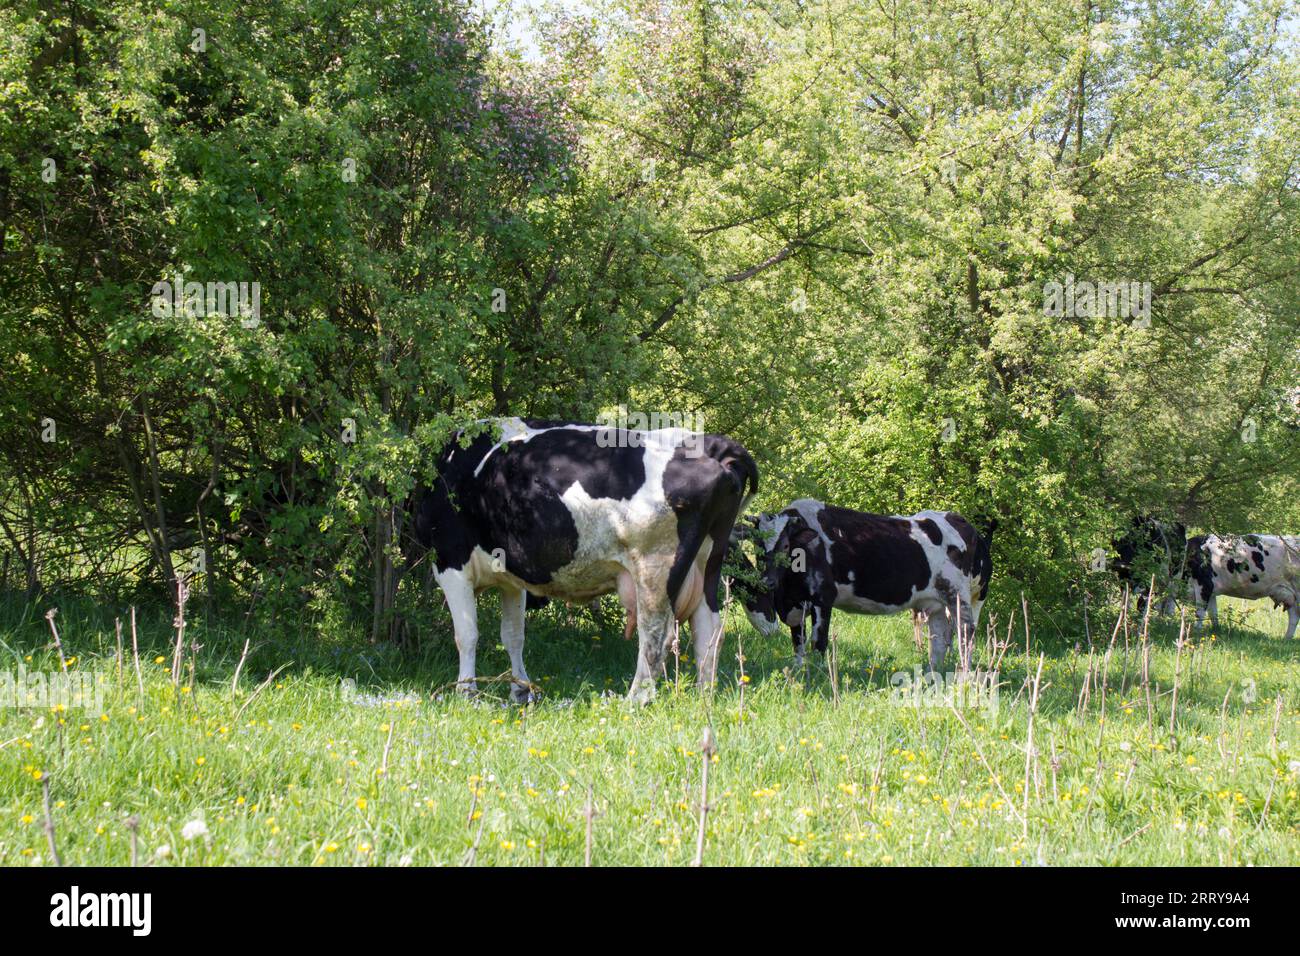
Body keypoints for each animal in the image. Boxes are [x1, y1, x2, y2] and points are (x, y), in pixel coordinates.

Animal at [408, 416, 759, 702]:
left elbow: (467, 635)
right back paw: (704, 696)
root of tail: (712, 445)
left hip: (655, 568)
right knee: (708, 631)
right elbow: (513, 636)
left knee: (656, 635)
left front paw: (465, 693)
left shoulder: (451, 563)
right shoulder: (511, 579)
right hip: (706, 565)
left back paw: (636, 700)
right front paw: (520, 690)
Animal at [733, 502, 993, 671]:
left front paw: (818, 674)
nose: (767, 581)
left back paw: (963, 672)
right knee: (939, 639)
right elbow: (798, 644)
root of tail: (963, 522)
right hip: (936, 603)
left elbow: (818, 642)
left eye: (786, 546)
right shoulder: (795, 604)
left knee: (966, 632)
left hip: (961, 596)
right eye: (757, 544)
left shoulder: (822, 599)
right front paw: (799, 672)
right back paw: (934, 673)